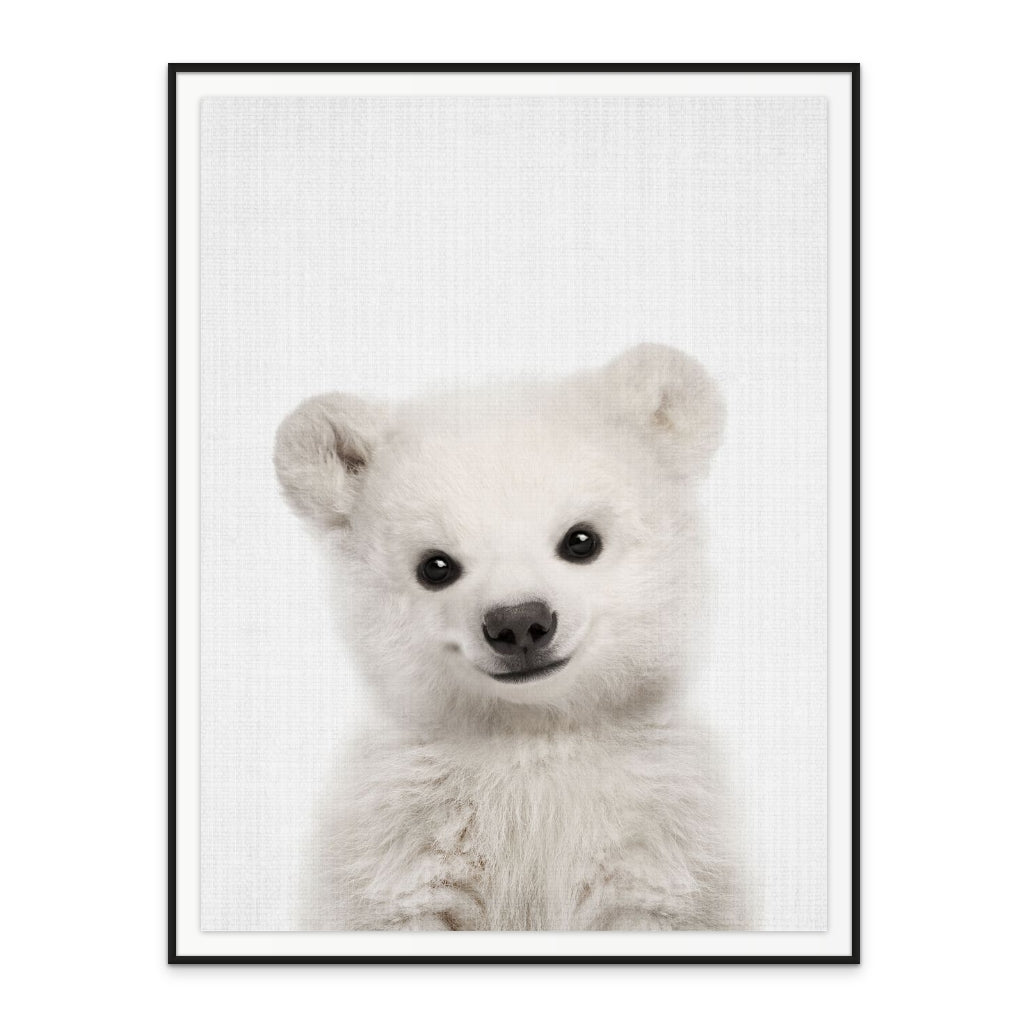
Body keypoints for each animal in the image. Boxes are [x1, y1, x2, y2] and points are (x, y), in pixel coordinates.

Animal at [274, 343, 741, 931]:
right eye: (435, 566)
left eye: (582, 539)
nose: (519, 622)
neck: (531, 737)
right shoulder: (403, 841)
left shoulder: (656, 839)